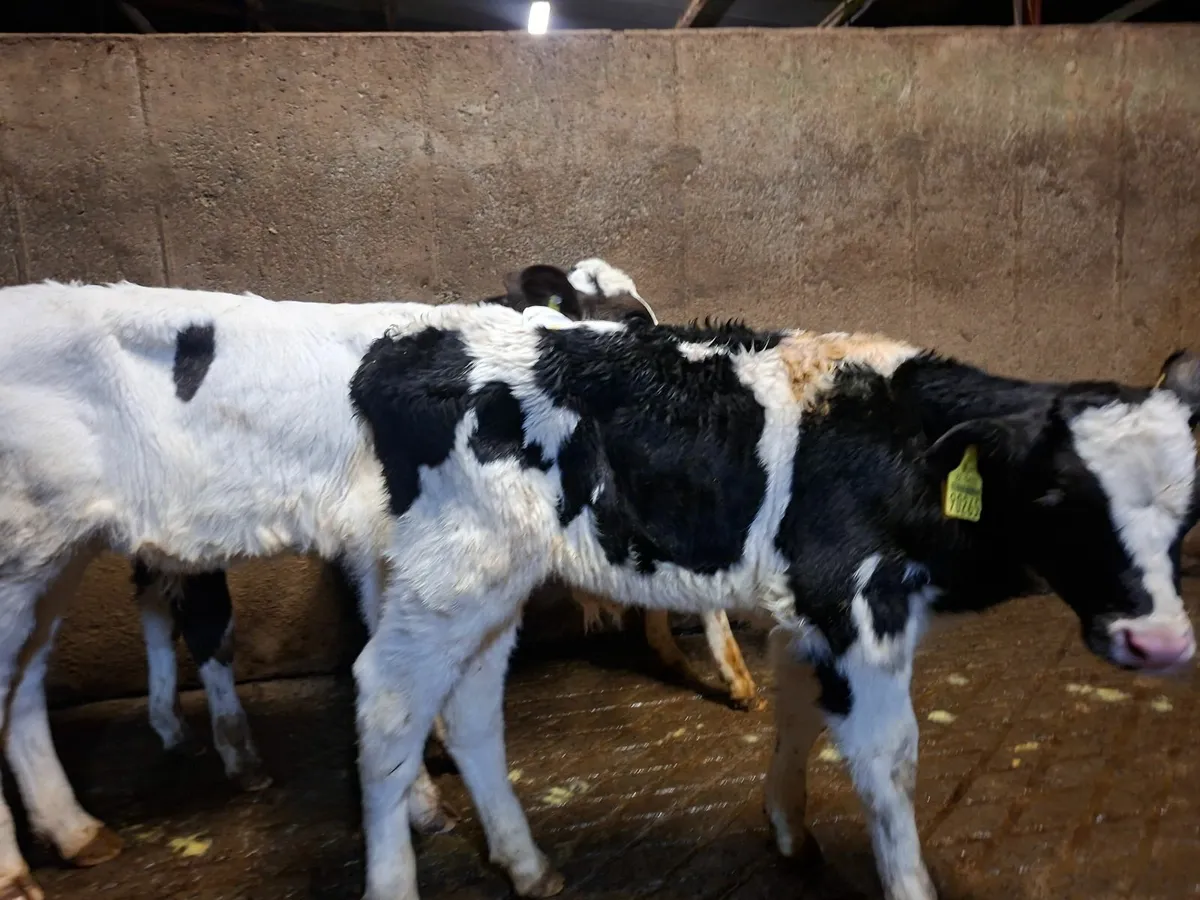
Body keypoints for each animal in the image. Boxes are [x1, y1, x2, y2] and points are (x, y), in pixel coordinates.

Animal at [340, 314, 1198, 900]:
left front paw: (789, 829)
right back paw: (396, 879)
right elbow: (891, 759)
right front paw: (905, 879)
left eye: (1190, 507)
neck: (902, 447)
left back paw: (526, 863)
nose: (1159, 641)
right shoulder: (855, 604)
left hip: (483, 585)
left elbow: (796, 713)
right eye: (1056, 497)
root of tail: (404, 346)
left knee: (469, 711)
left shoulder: (806, 612)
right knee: (387, 703)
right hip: (455, 575)